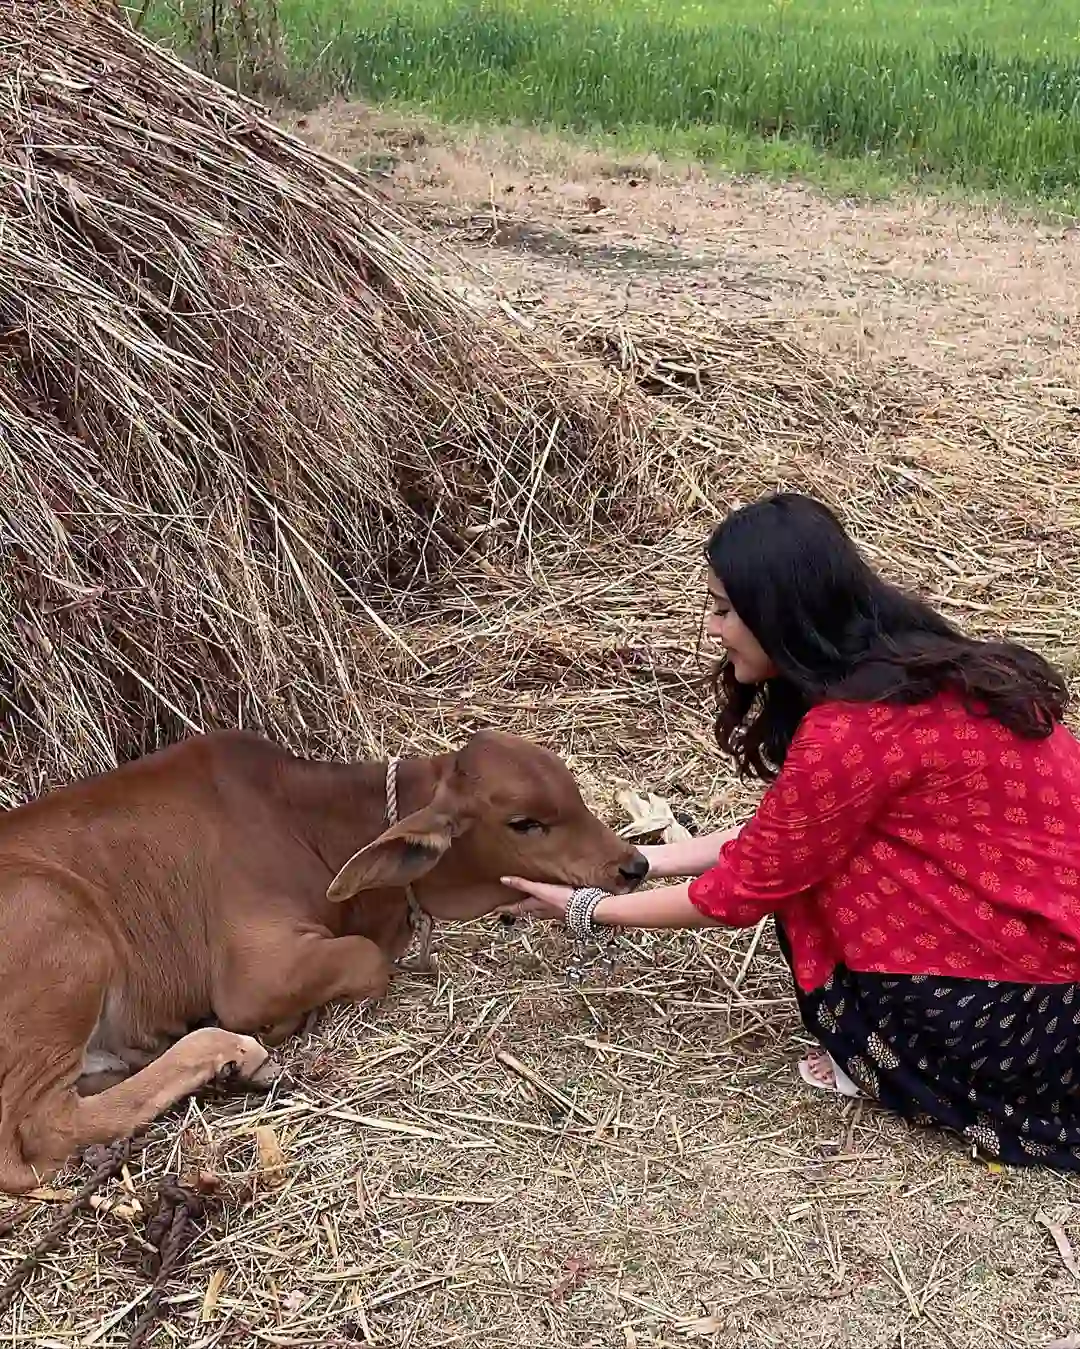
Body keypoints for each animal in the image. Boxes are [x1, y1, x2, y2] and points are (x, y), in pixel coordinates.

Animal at [0, 728, 647, 1193]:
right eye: (525, 823)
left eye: (576, 795)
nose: (634, 865)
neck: (308, 820)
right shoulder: (253, 972)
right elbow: (366, 960)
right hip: (65, 935)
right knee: (38, 1131)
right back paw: (230, 1054)